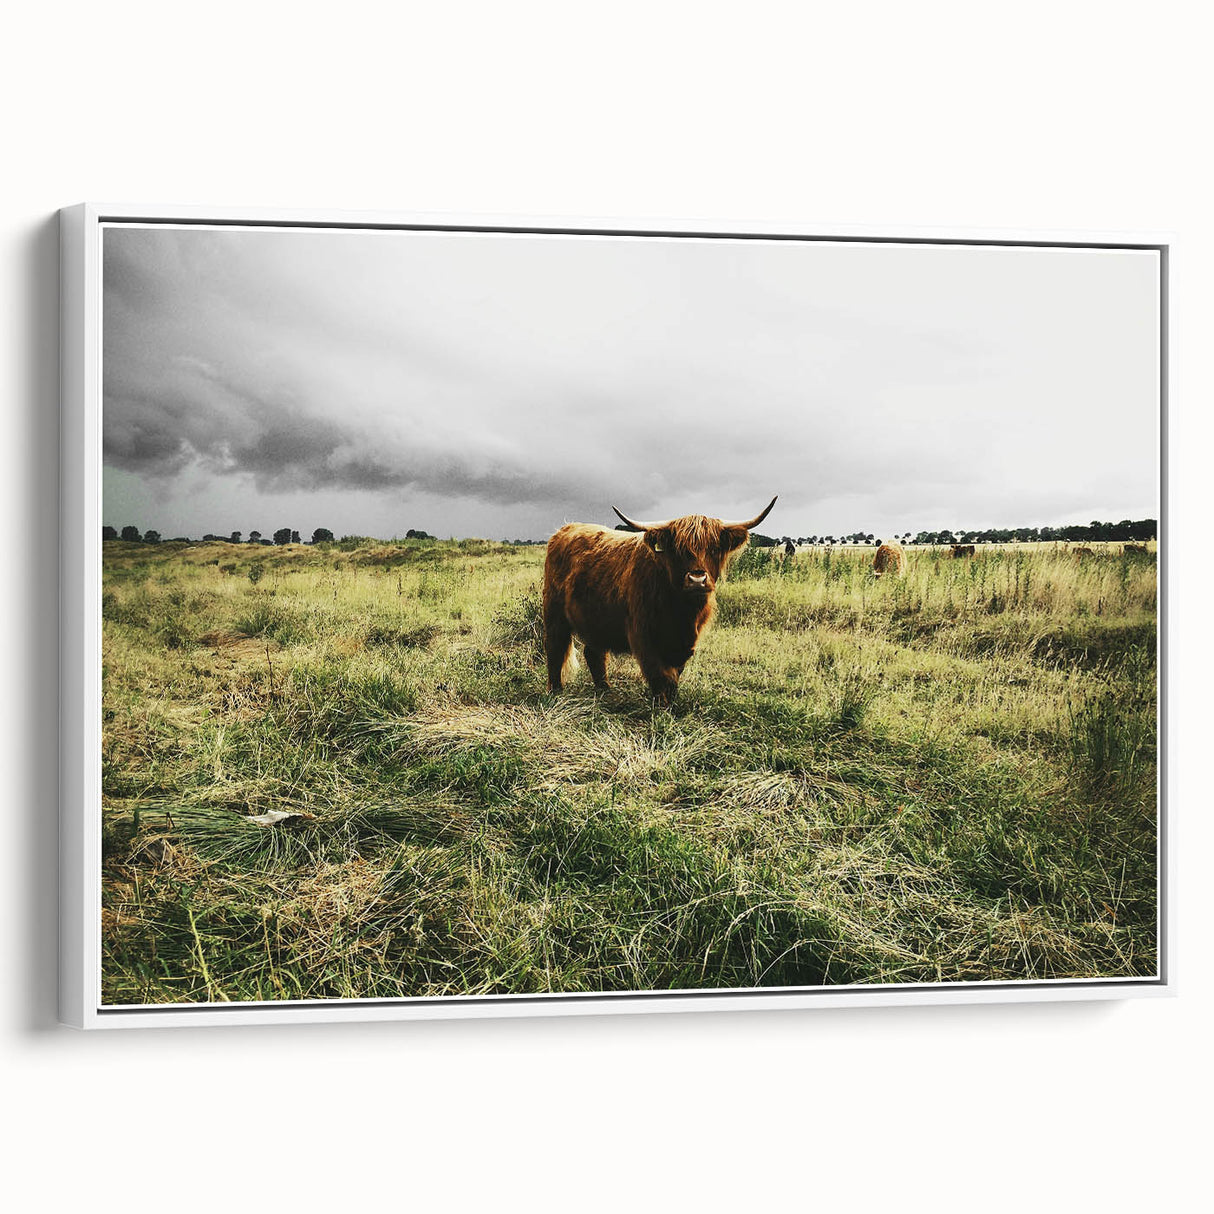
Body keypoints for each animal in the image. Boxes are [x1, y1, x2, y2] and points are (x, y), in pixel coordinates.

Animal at [543, 497, 778, 705]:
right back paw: (556, 691)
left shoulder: (685, 643)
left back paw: (605, 690)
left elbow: (674, 675)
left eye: (713, 549)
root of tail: (565, 529)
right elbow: (658, 674)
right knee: (555, 648)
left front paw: (671, 703)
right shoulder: (643, 636)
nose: (697, 579)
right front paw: (661, 707)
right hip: (554, 613)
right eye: (679, 550)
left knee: (594, 653)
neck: (681, 613)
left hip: (596, 620)